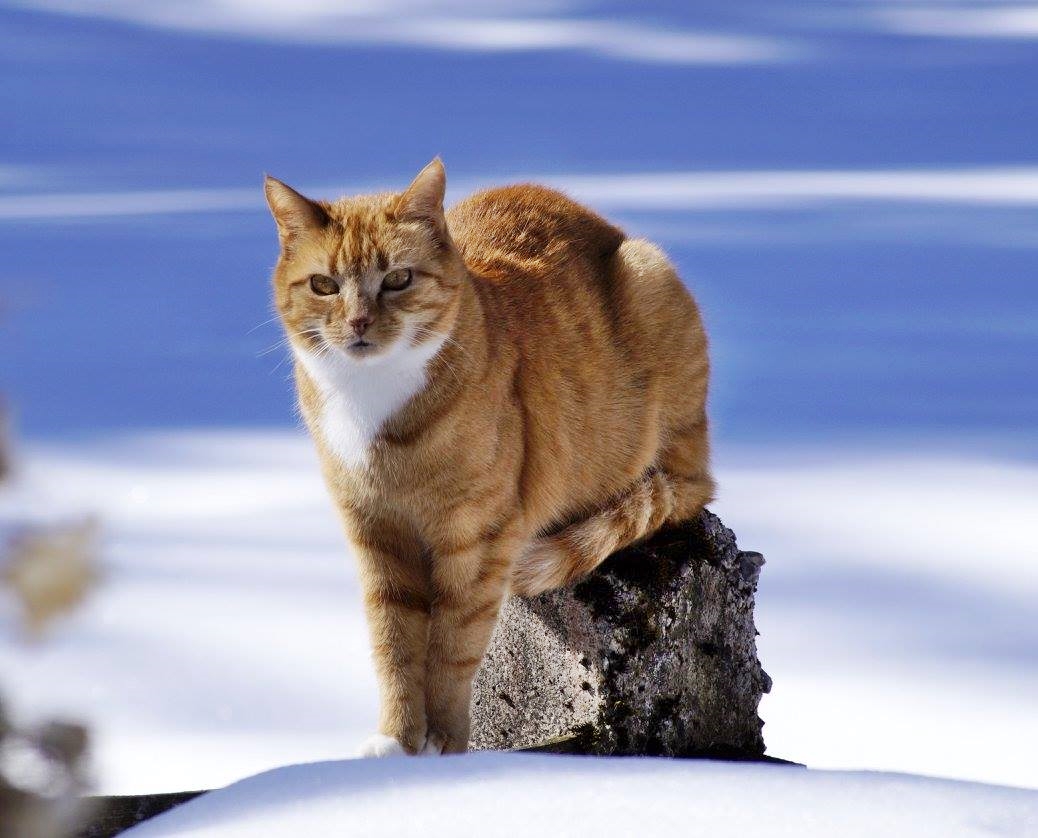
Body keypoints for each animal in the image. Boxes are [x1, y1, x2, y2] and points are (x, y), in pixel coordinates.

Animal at [265, 160, 714, 755]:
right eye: (324, 285)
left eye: (398, 280)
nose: (358, 323)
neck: (373, 403)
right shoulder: (375, 533)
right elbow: (394, 647)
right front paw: (397, 740)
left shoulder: (479, 539)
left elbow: (452, 648)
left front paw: (444, 744)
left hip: (651, 285)